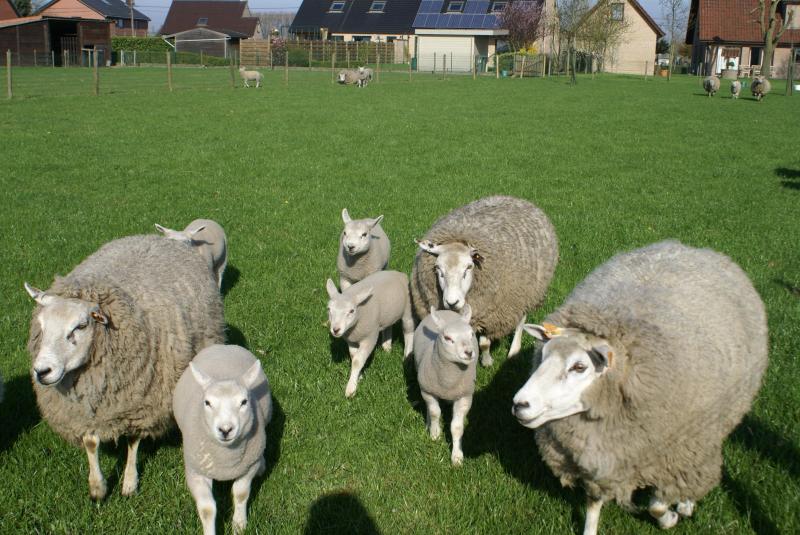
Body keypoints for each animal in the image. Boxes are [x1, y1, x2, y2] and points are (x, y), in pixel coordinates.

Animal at [25, 236, 225, 502]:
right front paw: (98, 488)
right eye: (42, 325)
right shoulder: (84, 409)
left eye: (80, 326)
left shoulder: (141, 401)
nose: (41, 371)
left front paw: (130, 483)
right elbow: (90, 442)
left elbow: (133, 440)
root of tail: (156, 238)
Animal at [172, 344, 272, 535]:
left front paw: (239, 524)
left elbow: (240, 493)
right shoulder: (196, 472)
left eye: (244, 402)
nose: (226, 430)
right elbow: (207, 508)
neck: (226, 460)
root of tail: (223, 346)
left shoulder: (248, 467)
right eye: (207, 402)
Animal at [410, 197, 560, 368]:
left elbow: (484, 344)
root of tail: (517, 199)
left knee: (521, 320)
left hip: (526, 293)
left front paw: (487, 361)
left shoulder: (491, 315)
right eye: (437, 269)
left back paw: (514, 351)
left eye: (469, 267)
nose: (452, 302)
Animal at [412, 308, 476, 466]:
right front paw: (435, 433)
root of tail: (445, 310)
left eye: (471, 334)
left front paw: (457, 456)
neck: (448, 381)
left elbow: (457, 427)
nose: (469, 353)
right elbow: (435, 412)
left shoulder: (464, 397)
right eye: (447, 338)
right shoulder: (428, 391)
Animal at [512, 242, 768, 535]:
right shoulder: (601, 460)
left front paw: (669, 518)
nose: (519, 404)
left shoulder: (670, 456)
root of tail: (692, 248)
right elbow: (593, 504)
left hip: (706, 434)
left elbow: (656, 505)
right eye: (543, 355)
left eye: (579, 366)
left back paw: (685, 504)